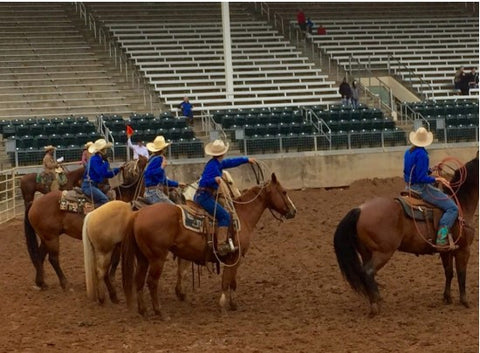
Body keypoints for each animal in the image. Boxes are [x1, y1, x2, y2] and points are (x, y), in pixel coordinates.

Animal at [23, 155, 148, 290]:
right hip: (51, 238)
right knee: (53, 259)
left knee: (40, 256)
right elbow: (115, 259)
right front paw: (112, 278)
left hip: (46, 237)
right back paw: (64, 283)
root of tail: (34, 203)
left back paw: (41, 283)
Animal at [121, 173, 296, 316]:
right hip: (157, 258)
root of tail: (138, 214)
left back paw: (143, 310)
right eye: (284, 192)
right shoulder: (234, 257)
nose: (294, 211)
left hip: (143, 257)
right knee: (152, 282)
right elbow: (227, 281)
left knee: (139, 279)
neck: (241, 216)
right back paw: (159, 311)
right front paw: (224, 304)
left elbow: (232, 281)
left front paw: (233, 304)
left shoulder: (233, 259)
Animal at [336, 154, 478, 316]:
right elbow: (461, 274)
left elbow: (449, 272)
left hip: (366, 252)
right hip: (383, 252)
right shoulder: (463, 249)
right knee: (368, 272)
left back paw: (375, 300)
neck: (461, 203)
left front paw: (447, 298)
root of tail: (360, 209)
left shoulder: (446, 250)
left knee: (364, 273)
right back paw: (375, 304)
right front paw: (464, 301)